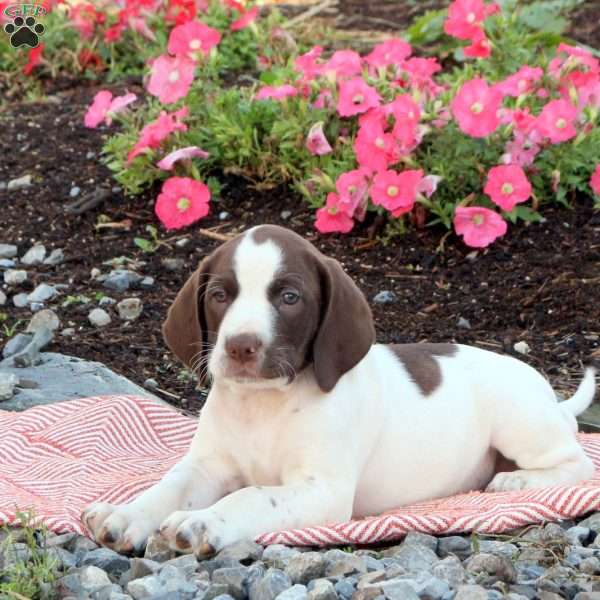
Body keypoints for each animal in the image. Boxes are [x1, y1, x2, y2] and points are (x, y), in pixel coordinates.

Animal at [82, 223, 596, 556]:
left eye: (289, 297)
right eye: (220, 295)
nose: (241, 346)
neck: (264, 405)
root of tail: (549, 394)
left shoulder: (321, 490)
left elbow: (252, 496)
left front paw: (204, 520)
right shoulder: (209, 466)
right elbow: (167, 487)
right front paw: (125, 515)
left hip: (520, 423)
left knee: (576, 461)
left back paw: (517, 481)